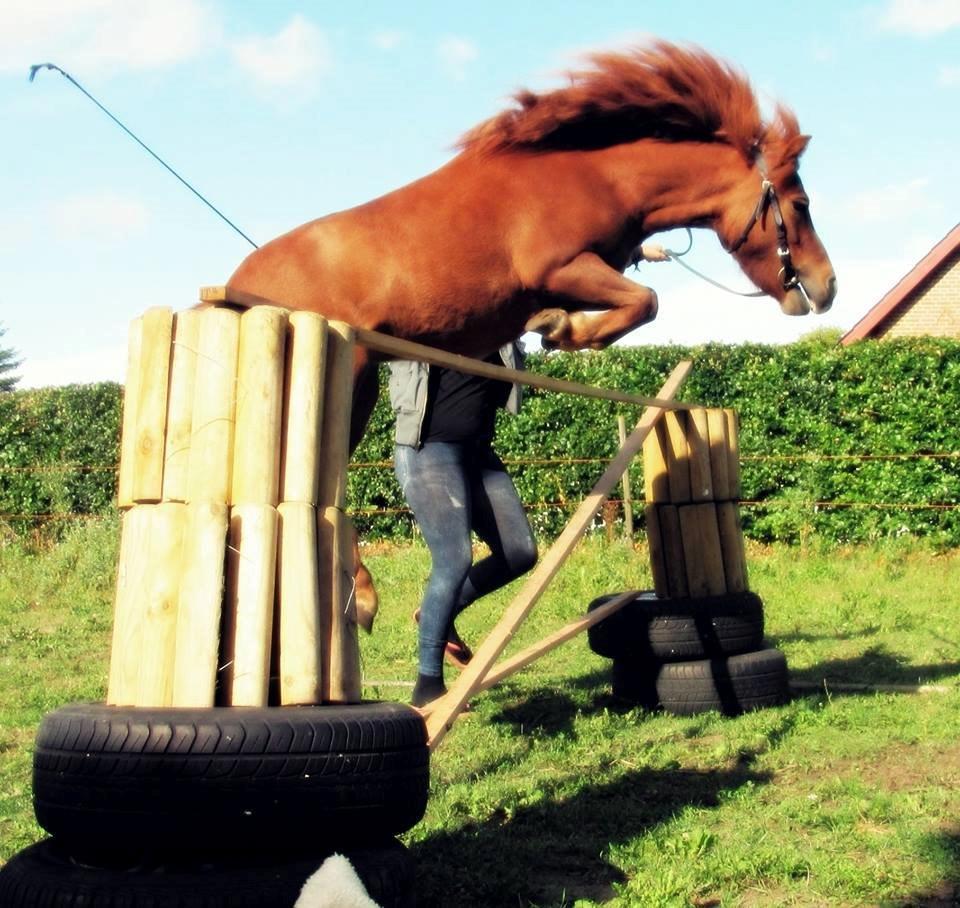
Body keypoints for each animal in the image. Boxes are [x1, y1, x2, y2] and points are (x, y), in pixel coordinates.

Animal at [225, 39, 832, 628]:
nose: (826, 287)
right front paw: (562, 330)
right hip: (343, 375)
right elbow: (645, 301)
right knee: (323, 481)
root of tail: (235, 285)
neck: (599, 177)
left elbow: (639, 298)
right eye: (800, 204)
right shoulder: (562, 269)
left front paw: (565, 327)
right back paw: (364, 596)